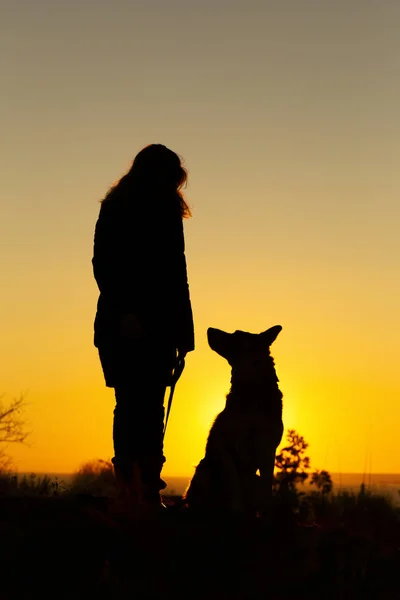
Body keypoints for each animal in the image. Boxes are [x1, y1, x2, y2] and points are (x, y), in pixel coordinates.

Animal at [185, 326, 284, 516]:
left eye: (236, 335)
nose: (209, 329)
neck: (251, 391)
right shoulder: (226, 446)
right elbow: (233, 480)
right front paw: (237, 510)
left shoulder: (267, 449)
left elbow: (267, 486)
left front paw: (267, 513)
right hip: (204, 470)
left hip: (253, 478)